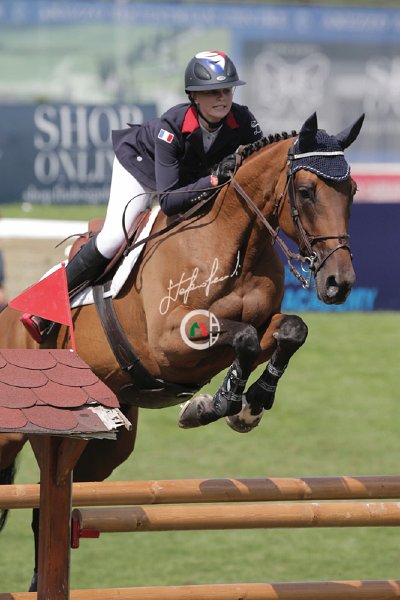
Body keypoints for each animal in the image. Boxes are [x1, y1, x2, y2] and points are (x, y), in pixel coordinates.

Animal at [0, 111, 364, 589]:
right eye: (305, 192)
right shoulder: (170, 343)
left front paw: (248, 404)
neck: (236, 243)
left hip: (104, 446)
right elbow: (243, 337)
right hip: (14, 430)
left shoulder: (259, 326)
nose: (339, 284)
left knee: (52, 502)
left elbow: (288, 331)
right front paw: (218, 404)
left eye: (352, 190)